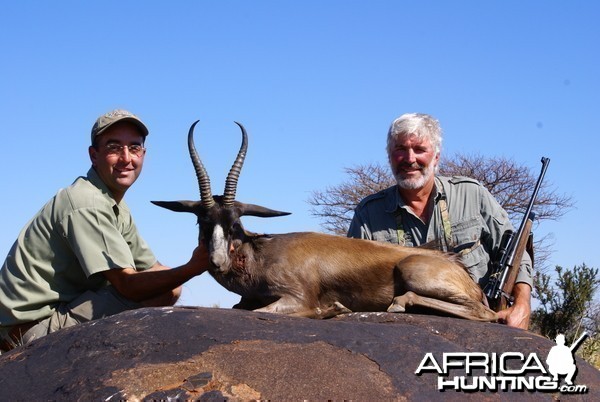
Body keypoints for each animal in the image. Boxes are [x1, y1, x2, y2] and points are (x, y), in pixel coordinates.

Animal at [154, 121, 496, 322]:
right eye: (201, 221)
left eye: (235, 223)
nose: (217, 261)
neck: (262, 254)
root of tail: (458, 270)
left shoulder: (295, 298)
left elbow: (277, 311)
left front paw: (333, 308)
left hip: (415, 273)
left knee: (483, 313)